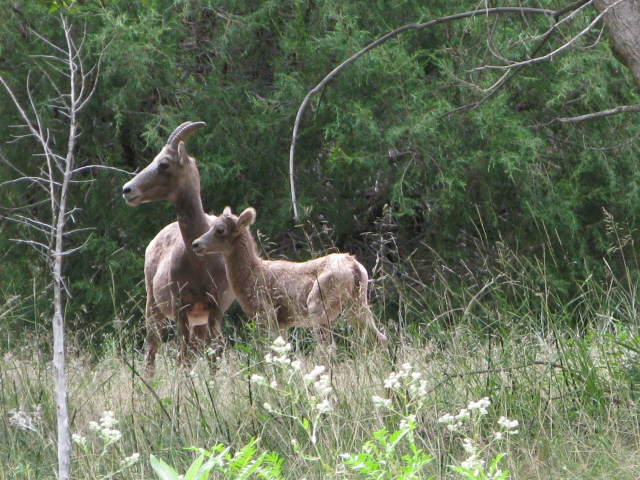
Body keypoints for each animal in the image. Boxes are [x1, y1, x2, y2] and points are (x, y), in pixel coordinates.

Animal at [121, 122, 234, 374]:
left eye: (164, 163)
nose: (127, 190)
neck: (200, 264)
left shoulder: (215, 307)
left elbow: (213, 356)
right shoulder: (182, 305)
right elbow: (183, 357)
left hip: (197, 320)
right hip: (153, 306)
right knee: (153, 350)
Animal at [190, 206, 388, 348]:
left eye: (220, 229)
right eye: (210, 225)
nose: (196, 244)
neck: (250, 275)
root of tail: (354, 266)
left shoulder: (266, 313)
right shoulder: (282, 324)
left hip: (318, 305)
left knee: (328, 347)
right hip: (357, 303)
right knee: (378, 337)